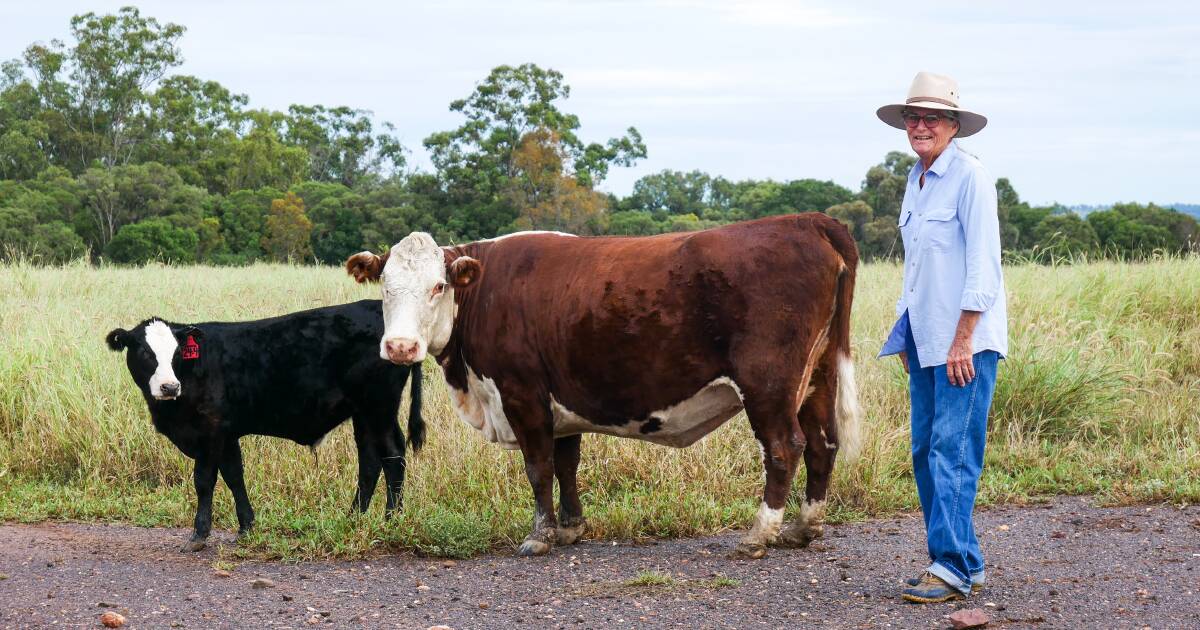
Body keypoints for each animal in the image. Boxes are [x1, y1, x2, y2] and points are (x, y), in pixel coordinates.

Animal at [104, 300, 422, 549]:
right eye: (145, 352)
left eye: (177, 353)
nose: (170, 387)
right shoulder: (227, 434)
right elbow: (234, 476)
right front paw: (246, 527)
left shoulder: (210, 431)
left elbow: (204, 481)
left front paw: (199, 535)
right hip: (363, 413)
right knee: (369, 460)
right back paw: (355, 517)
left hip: (379, 407)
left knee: (392, 455)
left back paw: (392, 520)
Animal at [348, 213, 864, 556]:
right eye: (386, 286)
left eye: (438, 286)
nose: (399, 347)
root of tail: (805, 221)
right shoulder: (559, 402)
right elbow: (566, 464)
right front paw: (570, 528)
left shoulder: (522, 393)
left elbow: (539, 467)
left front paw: (539, 536)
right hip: (816, 378)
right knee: (823, 444)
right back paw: (804, 527)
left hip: (768, 383)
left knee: (784, 447)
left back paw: (760, 533)